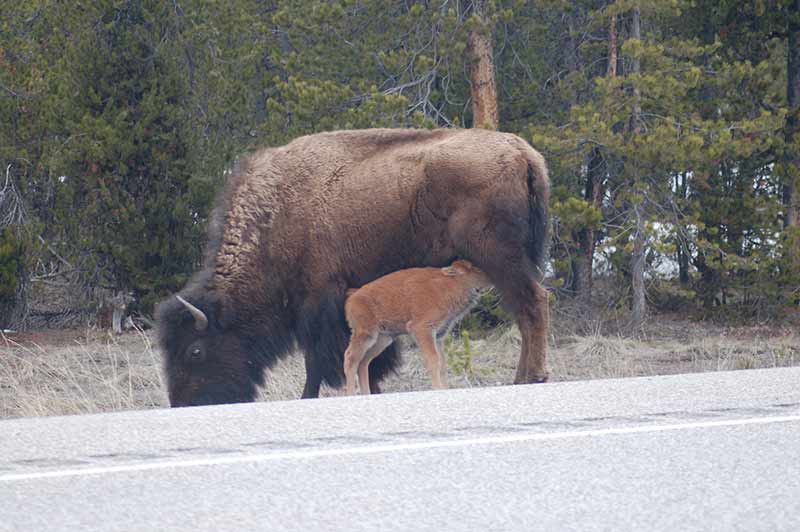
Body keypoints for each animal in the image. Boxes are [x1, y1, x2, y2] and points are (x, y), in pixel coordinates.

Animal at [342, 260, 490, 392]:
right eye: (474, 269)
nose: (488, 277)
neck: (447, 284)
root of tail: (353, 296)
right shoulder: (422, 330)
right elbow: (433, 360)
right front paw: (438, 389)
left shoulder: (438, 336)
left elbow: (442, 364)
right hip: (365, 334)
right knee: (350, 358)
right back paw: (351, 394)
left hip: (383, 339)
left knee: (363, 362)